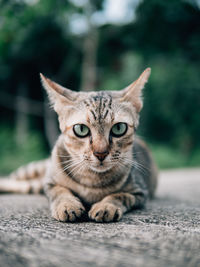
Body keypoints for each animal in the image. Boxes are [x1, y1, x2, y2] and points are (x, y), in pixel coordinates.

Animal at [0, 68, 158, 223]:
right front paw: (67, 205)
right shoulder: (50, 184)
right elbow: (61, 192)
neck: (92, 181)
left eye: (119, 128)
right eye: (81, 129)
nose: (101, 153)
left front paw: (106, 206)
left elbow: (119, 195)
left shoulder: (139, 192)